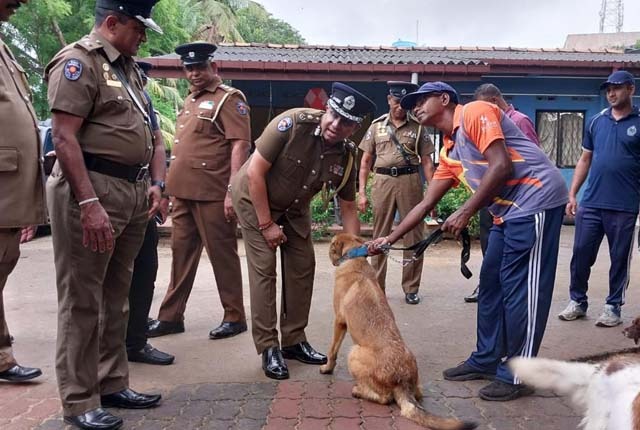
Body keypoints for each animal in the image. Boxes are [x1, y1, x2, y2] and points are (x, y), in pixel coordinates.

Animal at [322, 235, 478, 430]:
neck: (354, 257)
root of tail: (402, 380)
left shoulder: (339, 321)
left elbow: (332, 351)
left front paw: (327, 368)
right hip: (415, 383)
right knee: (416, 394)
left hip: (354, 352)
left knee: (384, 398)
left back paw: (358, 390)